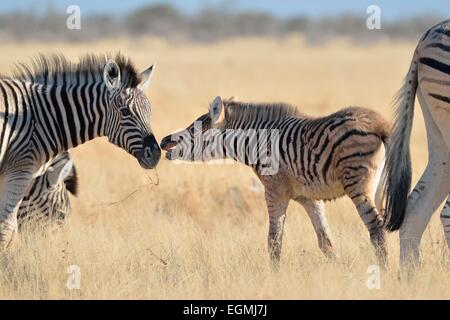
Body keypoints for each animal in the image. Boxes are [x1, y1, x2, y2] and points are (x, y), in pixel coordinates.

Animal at [162, 96, 390, 266]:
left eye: (193, 129)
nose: (164, 141)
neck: (257, 142)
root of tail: (381, 123)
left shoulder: (274, 190)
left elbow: (274, 241)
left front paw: (274, 276)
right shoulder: (308, 197)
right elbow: (326, 241)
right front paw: (337, 272)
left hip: (358, 185)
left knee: (377, 228)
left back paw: (384, 272)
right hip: (381, 188)